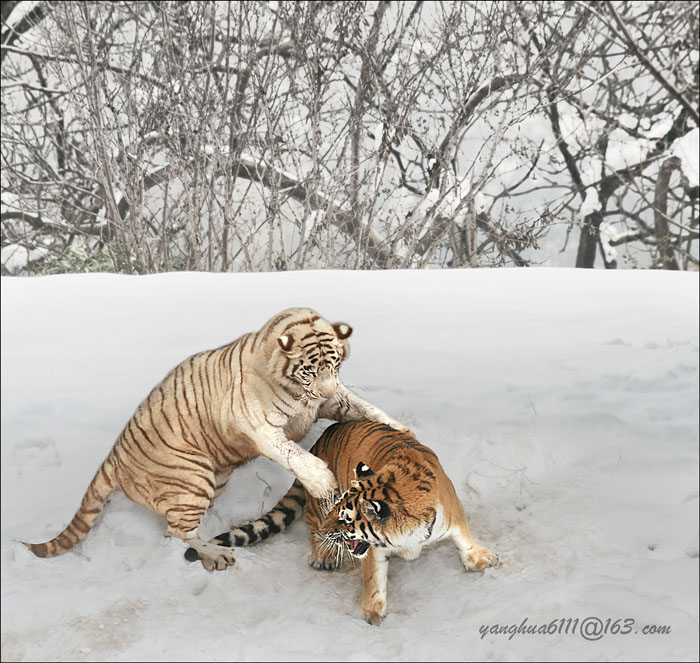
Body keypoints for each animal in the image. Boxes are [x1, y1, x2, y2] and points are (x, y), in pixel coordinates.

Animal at [23, 308, 410, 572]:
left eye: (336, 365)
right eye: (309, 370)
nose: (325, 388)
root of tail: (112, 456)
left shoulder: (330, 400)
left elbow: (363, 406)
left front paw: (400, 429)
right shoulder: (262, 427)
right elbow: (295, 455)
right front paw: (323, 483)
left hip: (212, 478)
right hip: (193, 478)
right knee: (177, 534)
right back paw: (216, 554)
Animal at [208, 422, 498, 624]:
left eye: (345, 519)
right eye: (337, 511)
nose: (328, 530)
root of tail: (321, 438)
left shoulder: (454, 511)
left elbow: (463, 536)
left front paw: (479, 558)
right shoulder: (373, 548)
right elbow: (373, 578)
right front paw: (372, 612)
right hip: (317, 502)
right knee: (311, 527)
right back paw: (323, 556)